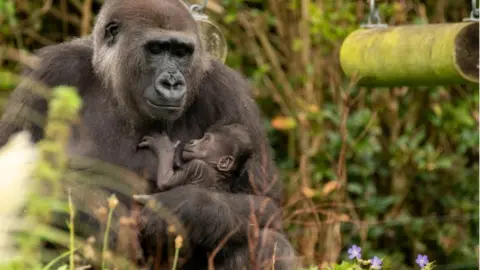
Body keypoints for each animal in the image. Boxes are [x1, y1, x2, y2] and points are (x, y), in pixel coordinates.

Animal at [0, 0, 296, 268]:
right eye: (156, 49)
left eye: (181, 52)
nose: (172, 83)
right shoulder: (49, 73)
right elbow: (16, 184)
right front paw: (97, 214)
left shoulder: (228, 90)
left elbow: (266, 205)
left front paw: (186, 207)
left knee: (268, 240)